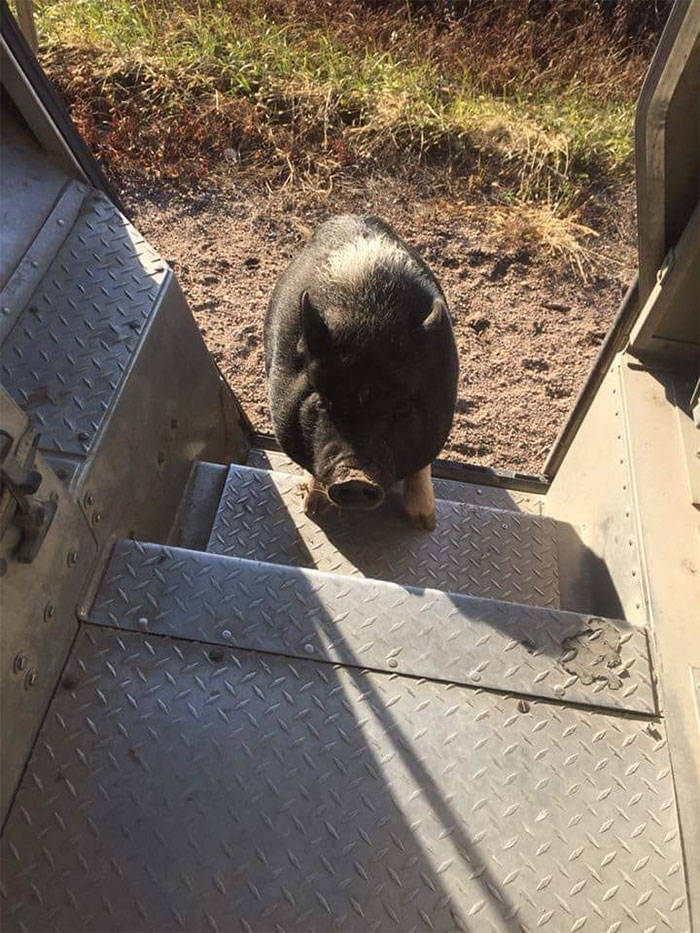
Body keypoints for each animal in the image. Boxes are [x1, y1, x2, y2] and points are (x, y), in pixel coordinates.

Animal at [262, 214, 460, 528]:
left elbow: (422, 465)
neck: (366, 318)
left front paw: (424, 523)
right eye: (322, 402)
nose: (356, 479)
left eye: (401, 410)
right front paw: (311, 510)